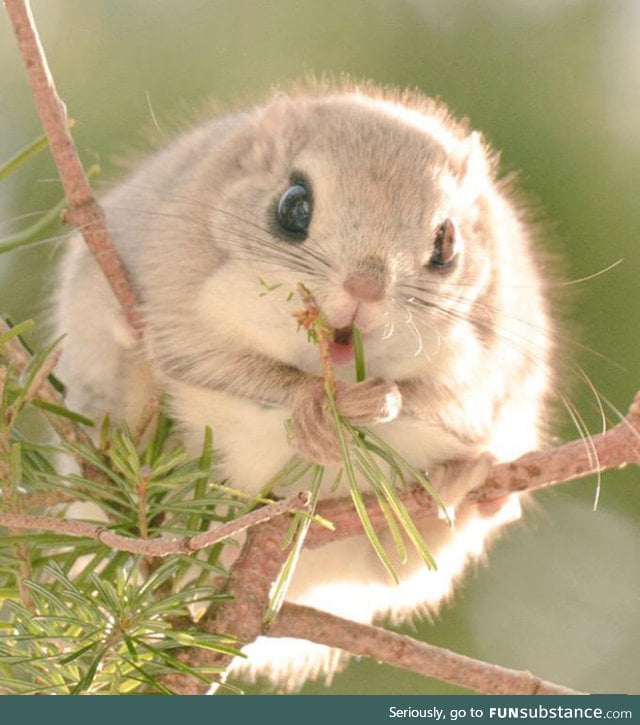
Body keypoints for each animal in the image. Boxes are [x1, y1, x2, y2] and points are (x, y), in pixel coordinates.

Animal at [55, 82, 556, 688]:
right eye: (293, 206)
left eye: (447, 243)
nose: (365, 288)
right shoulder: (180, 300)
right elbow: (232, 369)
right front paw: (316, 413)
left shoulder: (496, 367)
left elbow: (439, 402)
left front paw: (384, 406)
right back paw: (132, 358)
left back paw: (469, 487)